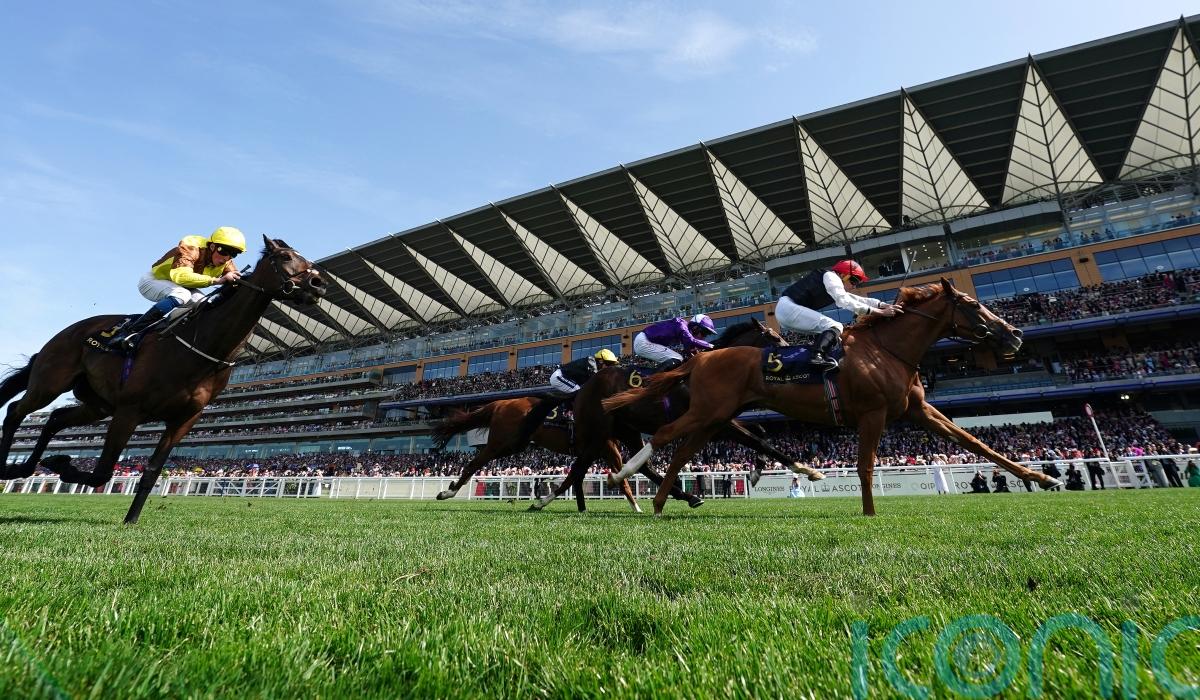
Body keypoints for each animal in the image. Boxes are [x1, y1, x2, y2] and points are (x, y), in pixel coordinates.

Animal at [0, 236, 325, 524]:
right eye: (285, 257)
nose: (318, 283)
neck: (204, 345)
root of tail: (67, 331)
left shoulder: (183, 419)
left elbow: (152, 470)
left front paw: (130, 519)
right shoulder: (130, 410)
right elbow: (103, 471)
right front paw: (61, 464)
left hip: (97, 404)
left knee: (54, 419)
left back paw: (24, 468)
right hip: (51, 383)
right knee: (16, 411)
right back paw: (7, 467)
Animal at [528, 318, 822, 511]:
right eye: (774, 337)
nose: (797, 354)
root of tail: (584, 388)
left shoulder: (720, 420)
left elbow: (760, 435)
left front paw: (757, 471)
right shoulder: (715, 421)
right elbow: (760, 441)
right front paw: (805, 469)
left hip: (626, 429)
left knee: (641, 465)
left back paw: (686, 496)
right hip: (600, 432)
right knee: (579, 468)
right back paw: (543, 501)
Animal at [601, 278, 1064, 516]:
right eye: (971, 304)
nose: (1014, 334)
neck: (887, 349)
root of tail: (701, 359)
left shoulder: (918, 409)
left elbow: (976, 443)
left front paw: (1042, 478)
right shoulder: (873, 413)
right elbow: (864, 465)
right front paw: (869, 512)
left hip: (714, 416)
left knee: (680, 451)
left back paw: (661, 500)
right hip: (708, 413)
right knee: (665, 439)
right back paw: (624, 477)